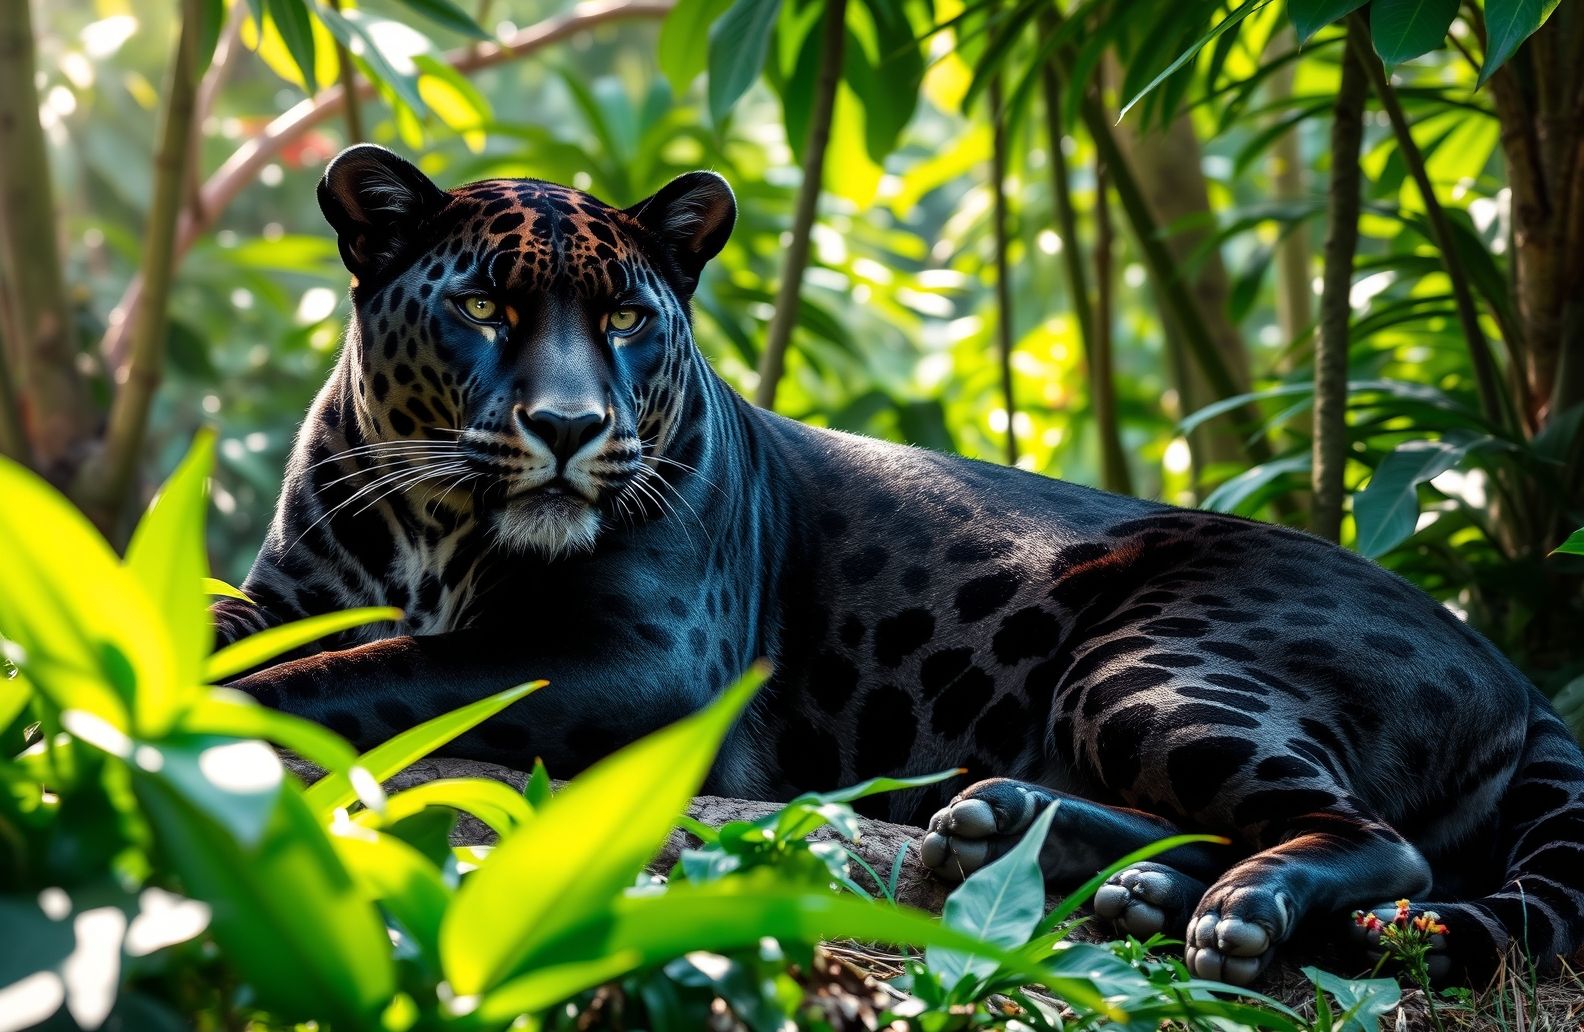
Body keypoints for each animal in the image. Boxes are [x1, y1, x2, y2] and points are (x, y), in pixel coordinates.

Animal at [214, 144, 1584, 987]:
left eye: (626, 320)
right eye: (486, 308)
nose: (569, 427)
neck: (435, 522)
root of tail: (1517, 672)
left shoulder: (640, 662)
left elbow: (390, 667)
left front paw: (228, 715)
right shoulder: (287, 593)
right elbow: (258, 626)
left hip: (1153, 659)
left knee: (1369, 838)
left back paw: (1220, 914)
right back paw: (1023, 836)